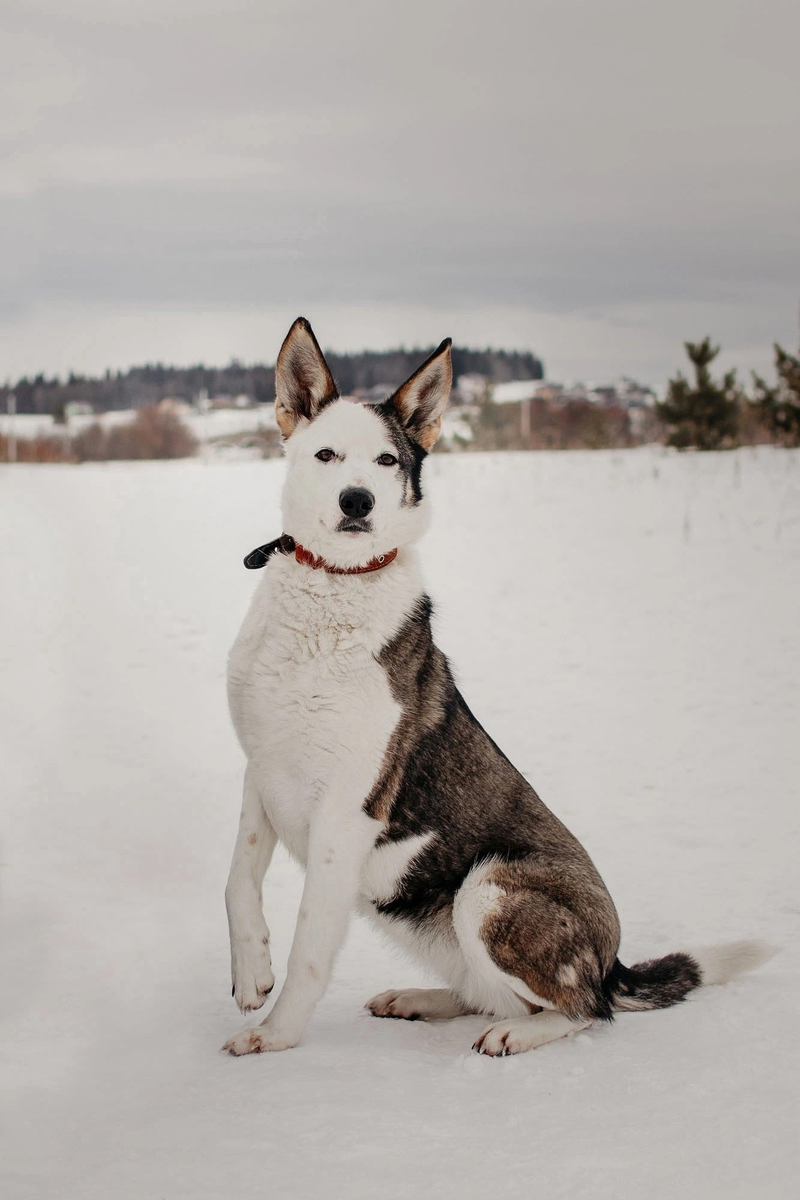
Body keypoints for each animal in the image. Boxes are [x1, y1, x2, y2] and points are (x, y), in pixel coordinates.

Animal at [221, 314, 772, 1056]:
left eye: (387, 461)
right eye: (326, 455)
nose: (356, 501)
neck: (333, 589)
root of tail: (612, 961)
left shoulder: (348, 808)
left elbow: (310, 942)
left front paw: (276, 1037)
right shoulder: (264, 766)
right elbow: (238, 879)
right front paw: (252, 972)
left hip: (489, 888)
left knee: (580, 1010)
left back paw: (517, 1034)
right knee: (492, 997)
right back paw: (420, 999)